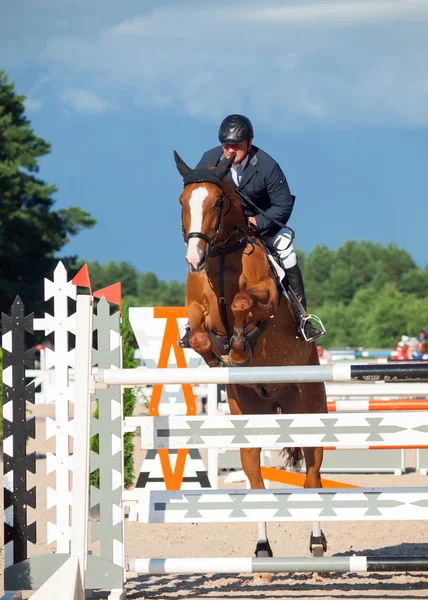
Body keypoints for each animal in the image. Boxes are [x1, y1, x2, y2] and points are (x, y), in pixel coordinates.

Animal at [174, 150, 328, 556]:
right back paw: (262, 548)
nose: (194, 259)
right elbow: (200, 337)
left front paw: (242, 346)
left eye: (217, 202)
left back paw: (317, 541)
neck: (221, 257)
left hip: (309, 407)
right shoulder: (197, 311)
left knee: (313, 475)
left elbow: (243, 303)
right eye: (182, 202)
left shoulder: (267, 299)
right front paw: (223, 356)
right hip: (250, 414)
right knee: (255, 478)